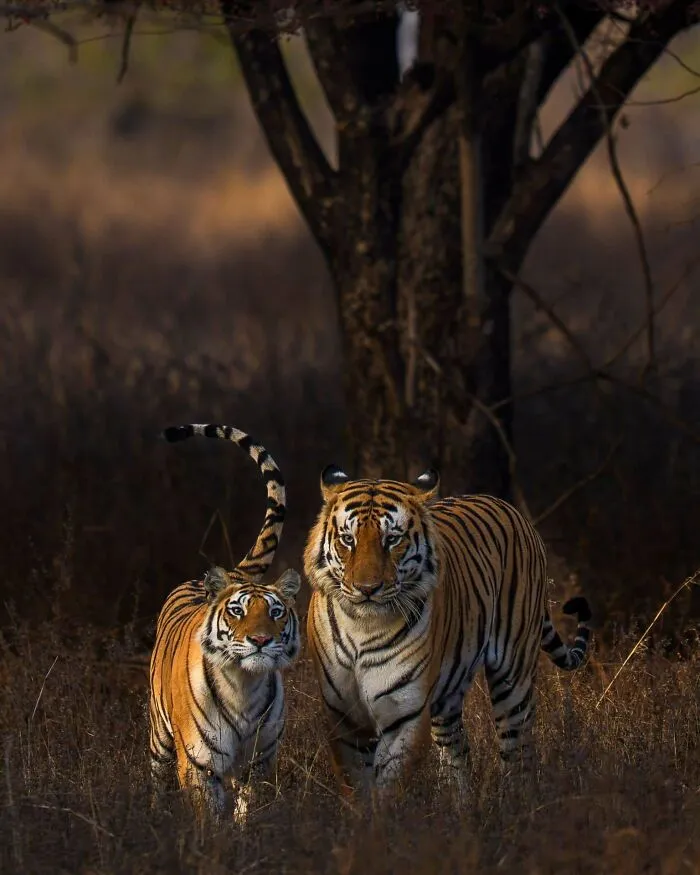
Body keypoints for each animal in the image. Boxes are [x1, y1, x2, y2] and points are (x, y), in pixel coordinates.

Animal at [149, 423, 302, 824]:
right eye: (237, 611)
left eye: (276, 612)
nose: (261, 640)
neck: (243, 687)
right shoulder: (200, 765)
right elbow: (210, 817)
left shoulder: (259, 762)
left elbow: (250, 810)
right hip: (159, 738)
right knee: (157, 779)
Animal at [303, 466, 592, 798]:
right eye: (348, 539)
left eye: (392, 539)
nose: (367, 589)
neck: (362, 627)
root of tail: (507, 507)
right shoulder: (342, 718)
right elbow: (356, 790)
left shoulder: (406, 715)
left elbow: (388, 790)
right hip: (449, 697)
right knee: (457, 754)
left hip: (513, 677)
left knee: (518, 751)